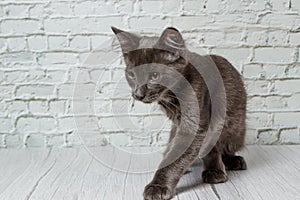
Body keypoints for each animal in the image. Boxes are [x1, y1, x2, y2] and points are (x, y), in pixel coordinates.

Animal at [111, 27, 247, 200]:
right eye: (131, 75)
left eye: (155, 76)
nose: (138, 94)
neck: (172, 96)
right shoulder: (179, 123)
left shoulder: (195, 124)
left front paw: (158, 186)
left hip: (235, 131)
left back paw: (230, 162)